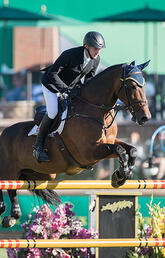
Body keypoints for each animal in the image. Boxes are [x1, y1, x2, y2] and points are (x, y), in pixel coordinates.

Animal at [0, 60, 151, 226]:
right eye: (132, 86)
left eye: (144, 85)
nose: (145, 117)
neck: (97, 111)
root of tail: (3, 133)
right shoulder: (89, 152)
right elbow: (119, 149)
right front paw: (120, 174)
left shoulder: (108, 143)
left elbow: (131, 150)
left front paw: (124, 174)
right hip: (8, 170)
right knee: (9, 187)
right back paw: (11, 214)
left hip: (44, 174)